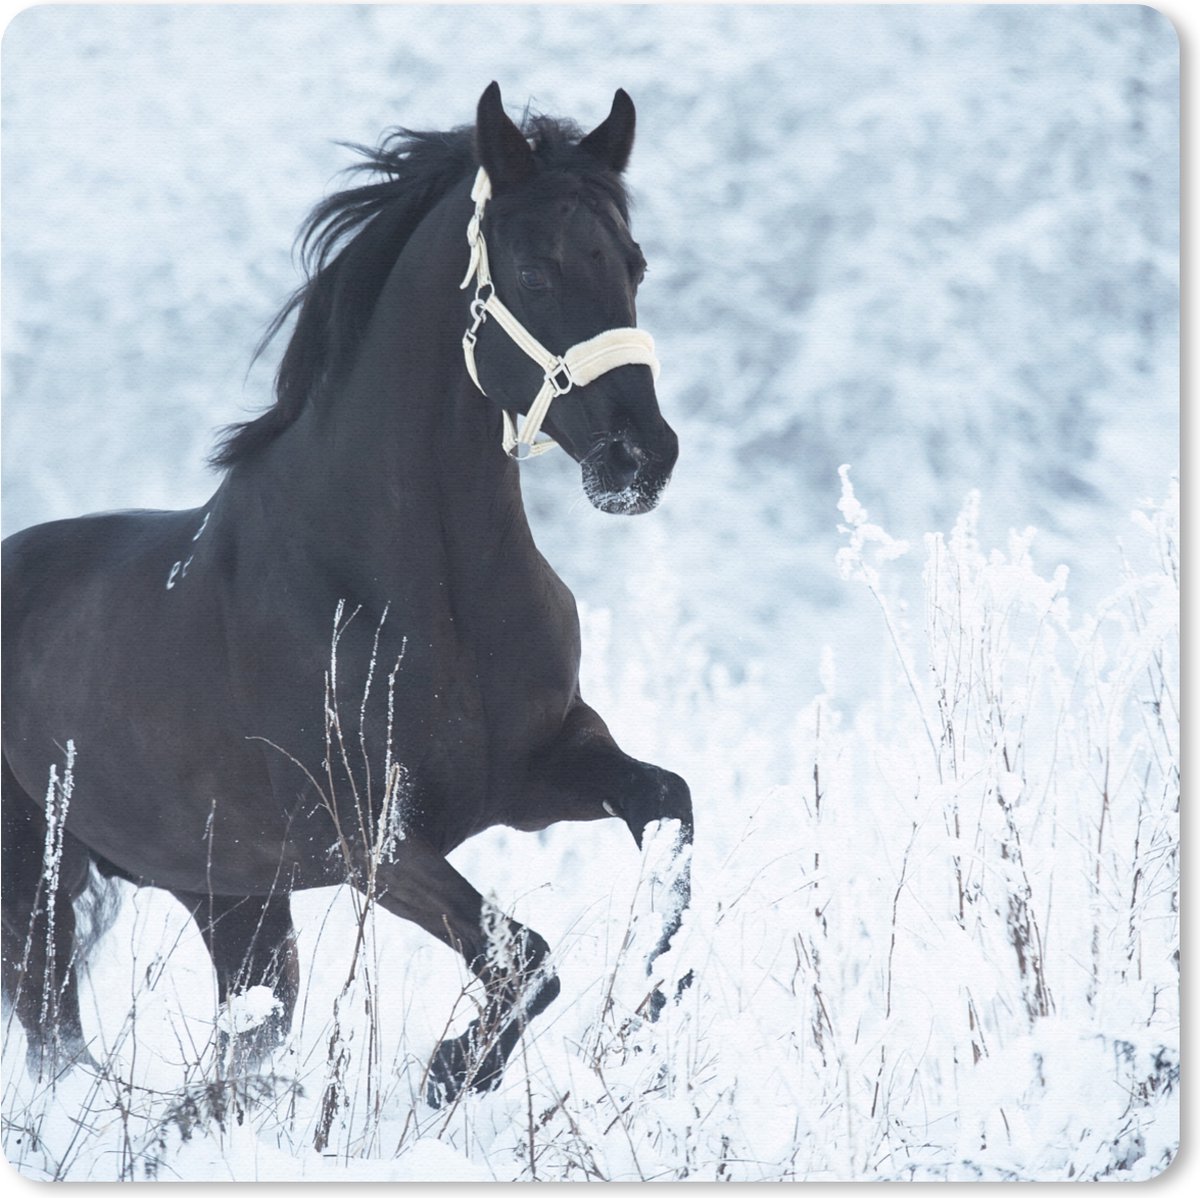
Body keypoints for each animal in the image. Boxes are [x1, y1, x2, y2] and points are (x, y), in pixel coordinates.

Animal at [1, 82, 692, 1106]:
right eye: (535, 270)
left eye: (634, 263)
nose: (640, 458)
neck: (422, 589)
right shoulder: (369, 838)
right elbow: (523, 958)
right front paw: (452, 1070)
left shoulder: (541, 770)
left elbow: (668, 810)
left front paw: (646, 1007)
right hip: (36, 888)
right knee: (60, 1044)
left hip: (233, 900)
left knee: (235, 1038)